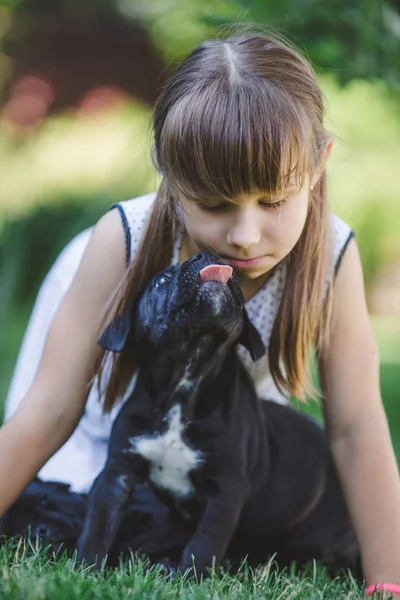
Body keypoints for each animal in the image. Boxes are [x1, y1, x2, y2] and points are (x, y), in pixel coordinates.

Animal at [76, 251, 360, 576]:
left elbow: (205, 542)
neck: (184, 384)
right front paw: (85, 568)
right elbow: (99, 523)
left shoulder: (226, 489)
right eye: (160, 281)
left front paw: (187, 577)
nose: (205, 255)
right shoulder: (116, 473)